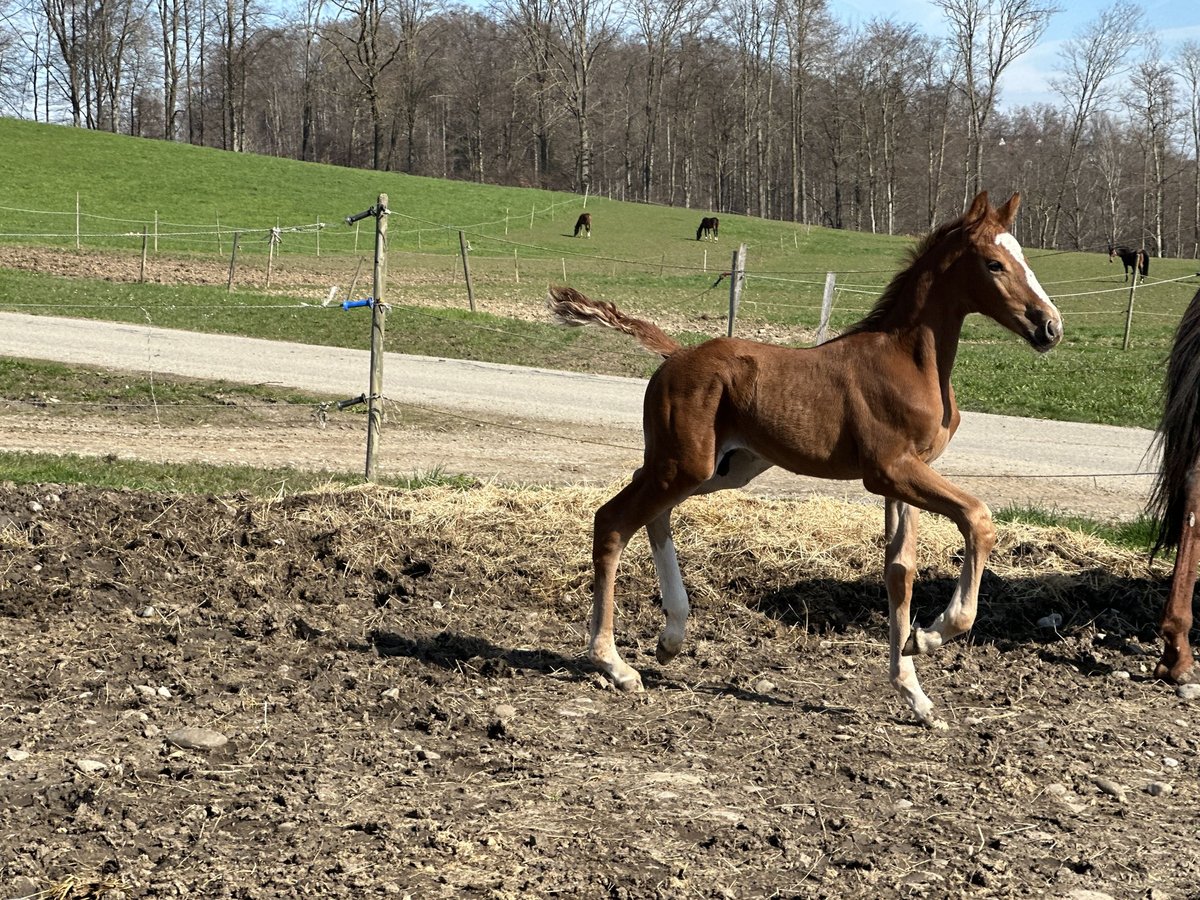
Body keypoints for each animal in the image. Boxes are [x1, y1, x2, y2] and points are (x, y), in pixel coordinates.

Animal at [549, 194, 1065, 729]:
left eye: (1023, 257)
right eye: (994, 264)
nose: (1050, 326)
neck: (909, 361)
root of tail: (674, 354)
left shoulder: (906, 476)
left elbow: (900, 572)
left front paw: (915, 694)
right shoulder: (891, 469)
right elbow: (978, 519)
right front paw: (929, 636)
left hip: (722, 467)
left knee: (650, 510)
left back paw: (671, 638)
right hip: (685, 465)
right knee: (613, 520)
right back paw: (614, 663)